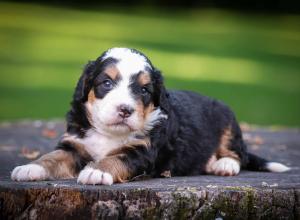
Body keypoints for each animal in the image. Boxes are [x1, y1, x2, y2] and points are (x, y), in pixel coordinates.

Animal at [10, 47, 290, 185]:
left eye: (144, 90)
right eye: (106, 83)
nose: (125, 110)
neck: (111, 134)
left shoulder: (142, 151)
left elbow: (117, 158)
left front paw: (97, 172)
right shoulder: (76, 144)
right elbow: (53, 156)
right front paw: (29, 168)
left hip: (228, 121)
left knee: (237, 153)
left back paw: (223, 165)